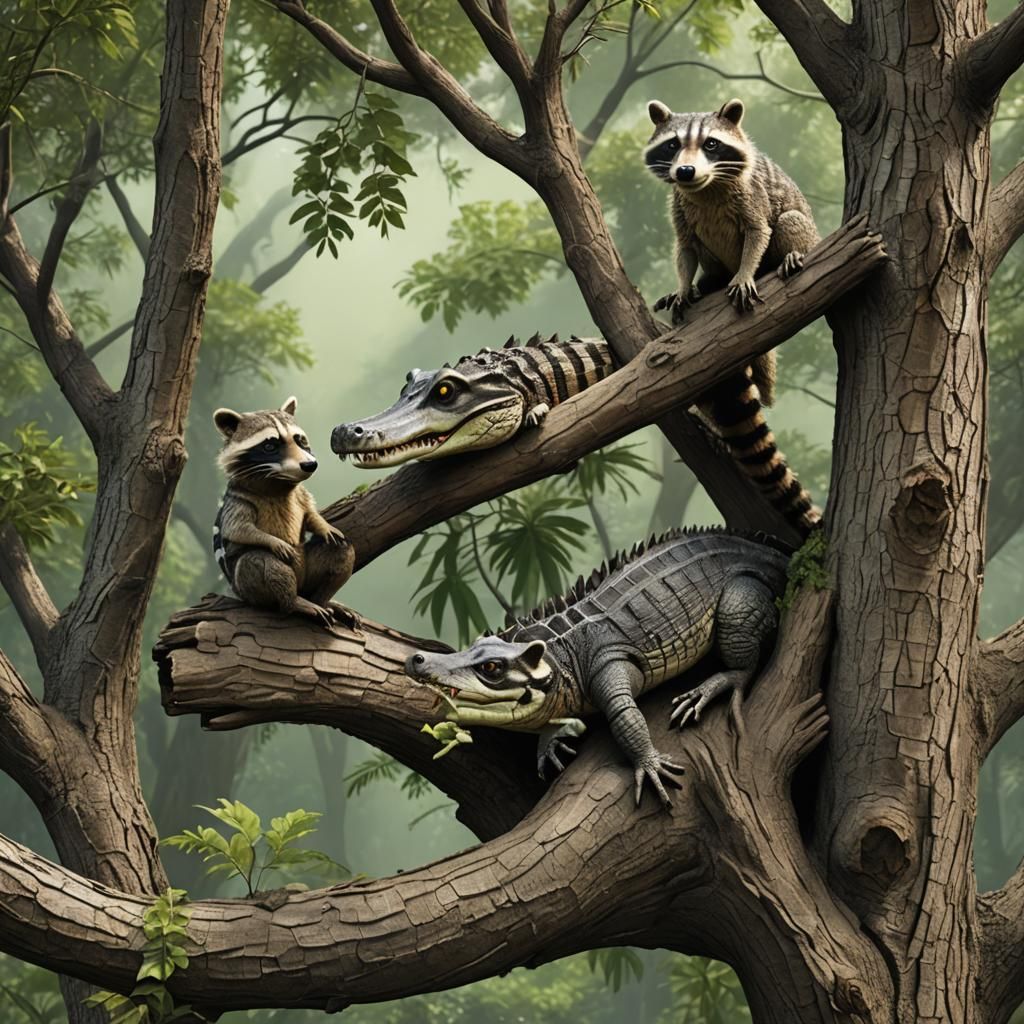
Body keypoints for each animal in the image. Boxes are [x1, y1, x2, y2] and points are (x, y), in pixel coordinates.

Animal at [213, 397, 357, 629]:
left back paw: (322, 600)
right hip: (247, 587)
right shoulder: (238, 501)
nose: (310, 464)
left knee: (341, 550)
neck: (277, 484)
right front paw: (274, 541)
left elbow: (310, 514)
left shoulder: (301, 494)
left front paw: (324, 525)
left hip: (308, 574)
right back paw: (295, 602)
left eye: (300, 440)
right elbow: (239, 529)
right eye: (269, 445)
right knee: (262, 562)